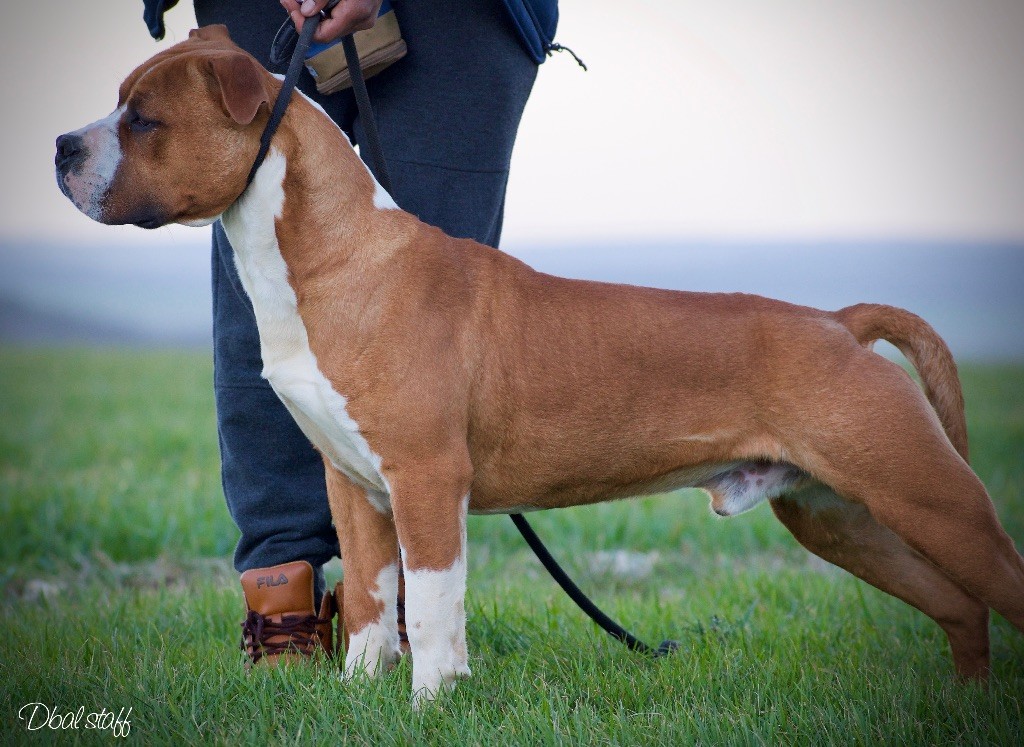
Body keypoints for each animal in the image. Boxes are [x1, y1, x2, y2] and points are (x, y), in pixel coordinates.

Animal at [56, 26, 1023, 702]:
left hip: (930, 500)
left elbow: (431, 606)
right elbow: (369, 600)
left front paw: (432, 703)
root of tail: (839, 321)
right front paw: (358, 697)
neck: (331, 257)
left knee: (995, 583)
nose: (62, 146)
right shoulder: (353, 485)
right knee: (959, 605)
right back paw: (962, 703)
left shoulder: (426, 478)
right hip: (839, 516)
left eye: (145, 119)